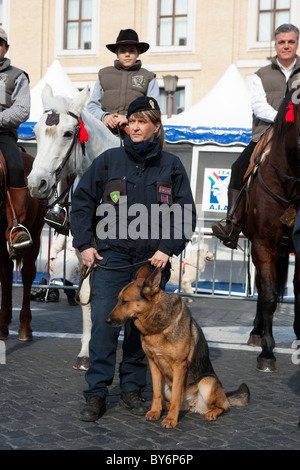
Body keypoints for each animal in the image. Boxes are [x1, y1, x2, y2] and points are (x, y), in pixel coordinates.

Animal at [27, 84, 119, 370]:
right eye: (35, 132)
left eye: (68, 133)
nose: (36, 184)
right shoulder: (84, 250)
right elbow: (89, 295)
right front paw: (87, 353)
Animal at [106, 266, 250, 428]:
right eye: (118, 300)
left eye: (124, 301)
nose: (107, 321)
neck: (157, 328)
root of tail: (193, 404)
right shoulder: (153, 364)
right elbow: (156, 393)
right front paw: (155, 412)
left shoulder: (179, 366)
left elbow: (176, 396)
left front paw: (170, 419)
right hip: (166, 385)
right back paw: (165, 406)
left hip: (207, 383)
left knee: (224, 406)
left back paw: (211, 412)